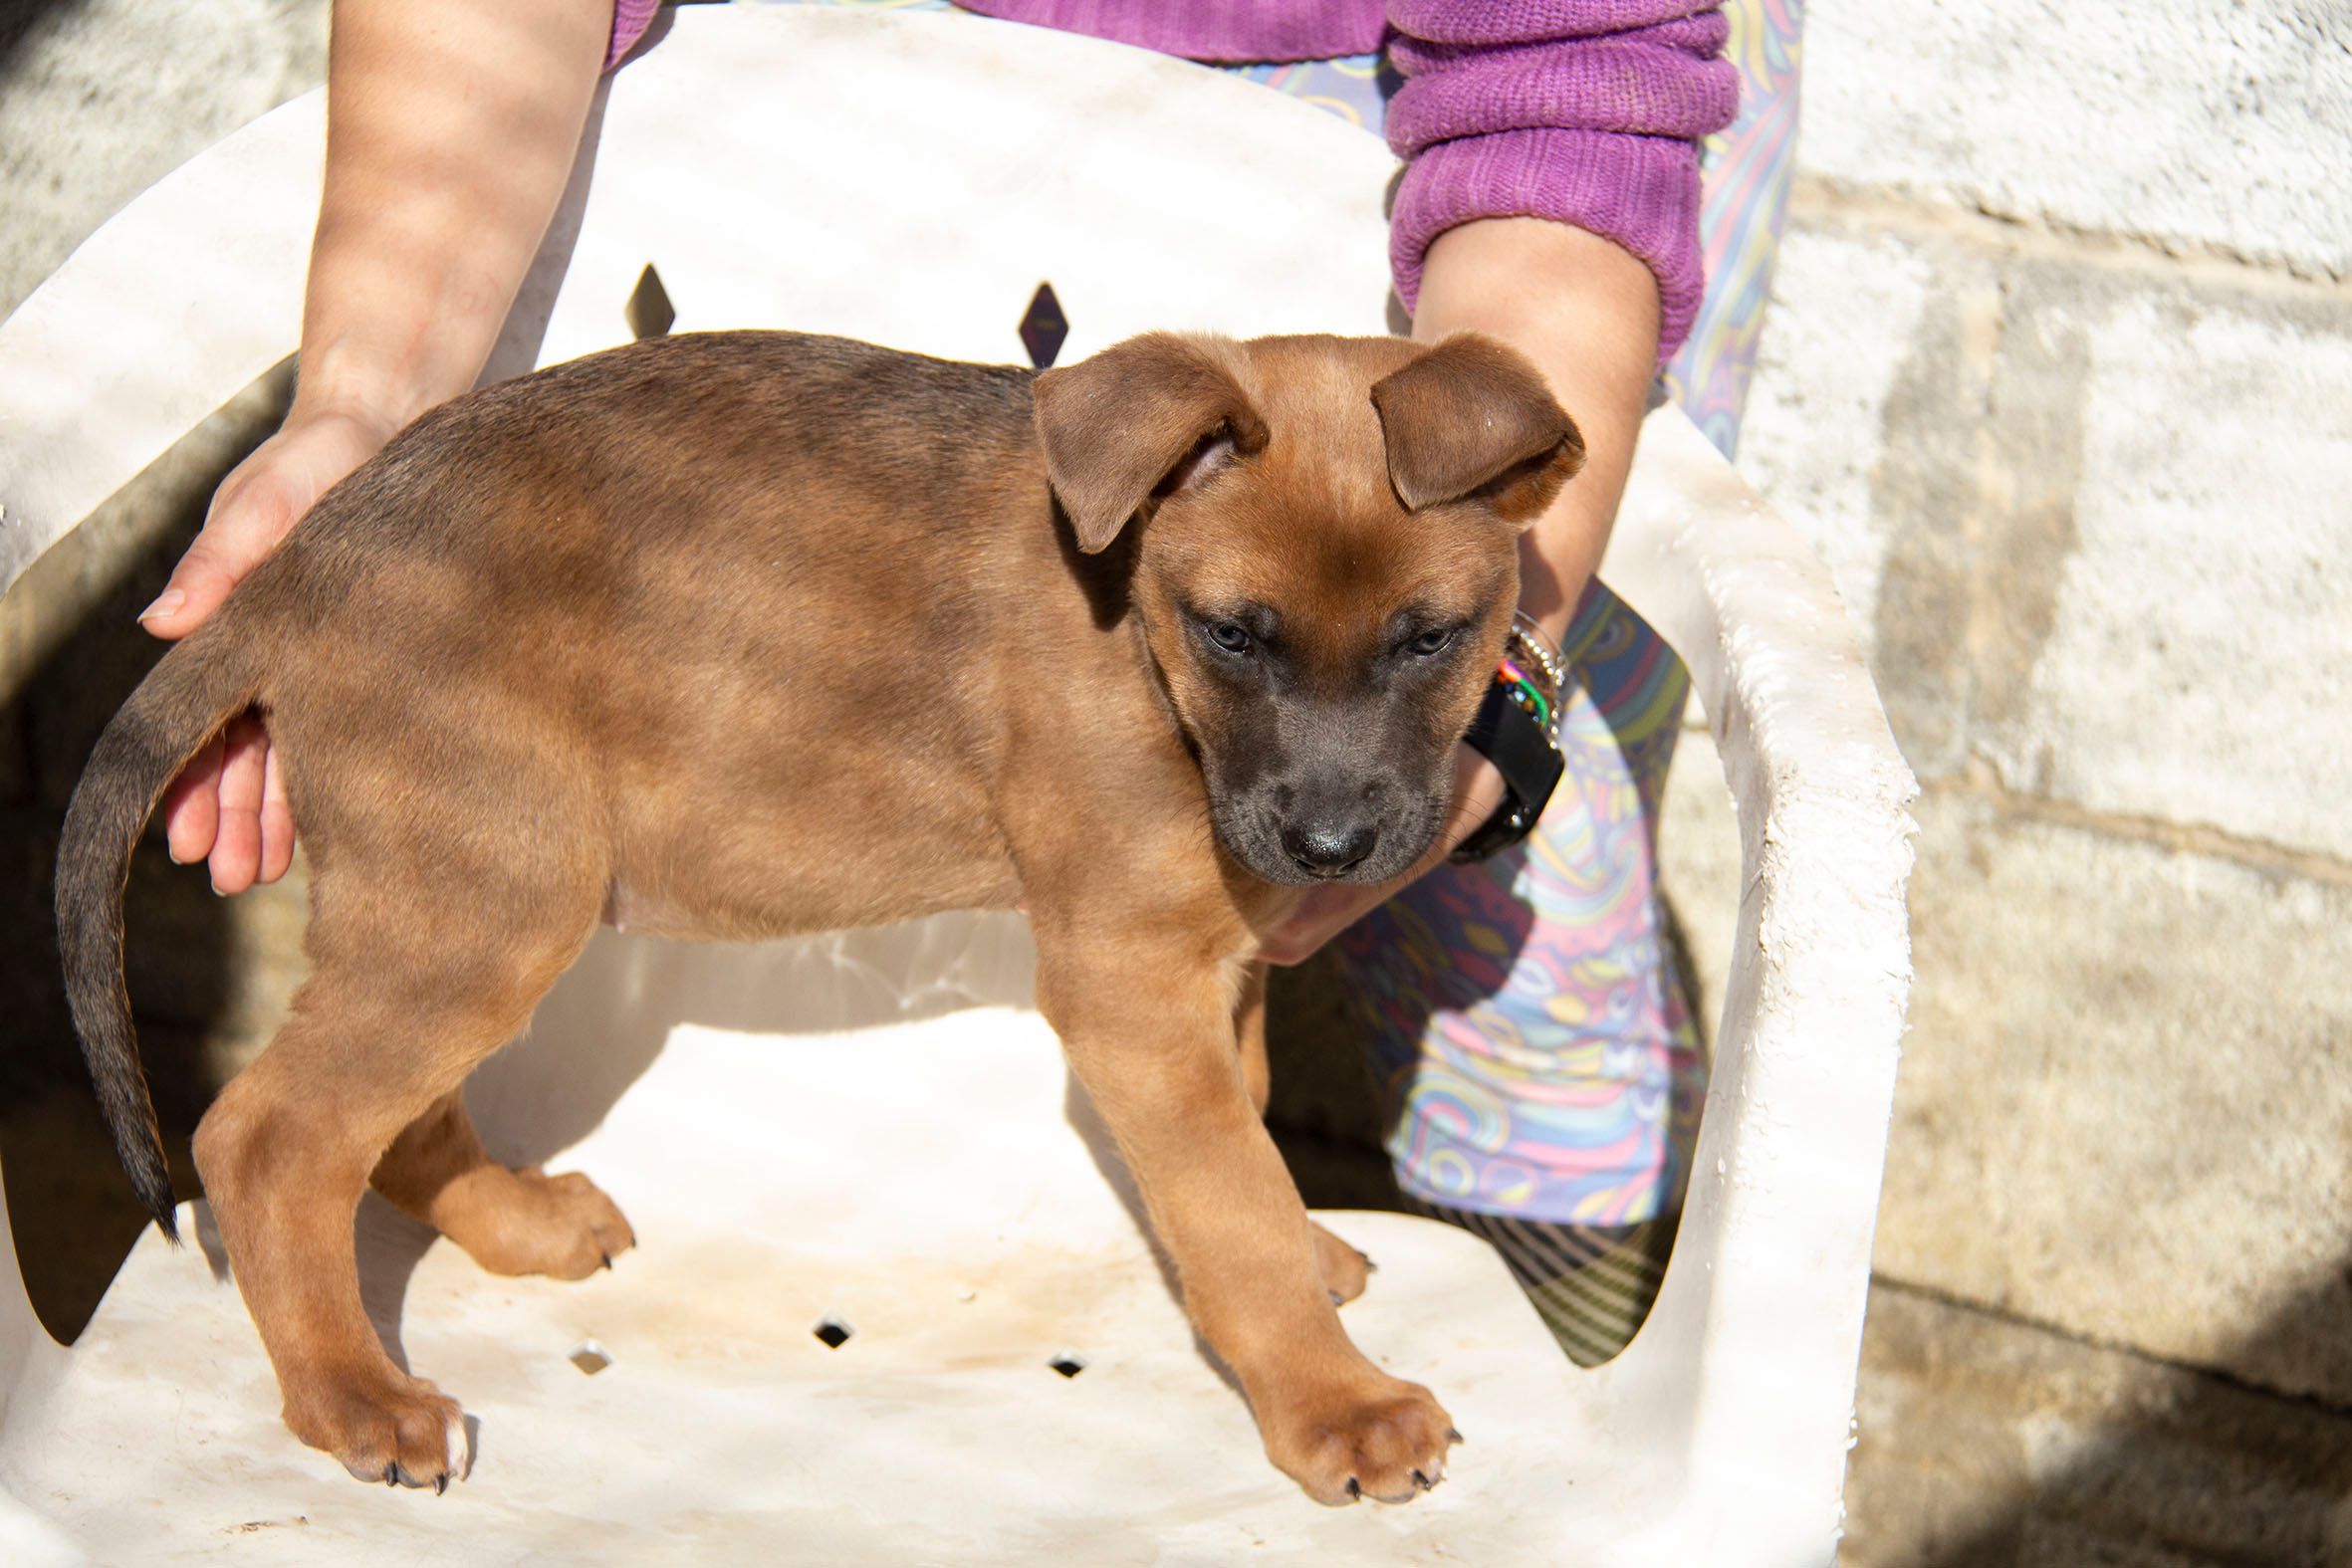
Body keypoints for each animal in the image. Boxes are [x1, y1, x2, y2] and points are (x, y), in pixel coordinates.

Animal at [57, 326, 1584, 1504]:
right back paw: (352, 1396)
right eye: (1233, 633)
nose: (1331, 847)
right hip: (486, 896)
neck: (1136, 628)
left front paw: (1309, 1279)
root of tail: (292, 574)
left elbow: (1247, 1142)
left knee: (389, 1121)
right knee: (268, 1137)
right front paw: (1336, 1405)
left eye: (1432, 636)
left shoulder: (1224, 958)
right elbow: (1233, 1202)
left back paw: (513, 1226)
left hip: (460, 893)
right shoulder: (1129, 984)